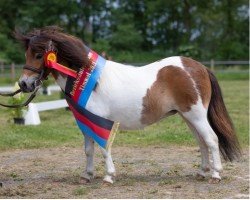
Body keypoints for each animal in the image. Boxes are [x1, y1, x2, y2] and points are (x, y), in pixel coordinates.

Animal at [14, 26, 240, 184]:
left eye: (39, 54)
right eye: (26, 54)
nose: (24, 84)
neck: (89, 80)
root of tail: (199, 67)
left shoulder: (99, 122)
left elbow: (104, 148)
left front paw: (108, 177)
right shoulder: (86, 123)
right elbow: (89, 150)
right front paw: (87, 176)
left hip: (196, 115)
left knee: (211, 140)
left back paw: (216, 175)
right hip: (188, 117)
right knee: (202, 142)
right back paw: (202, 172)